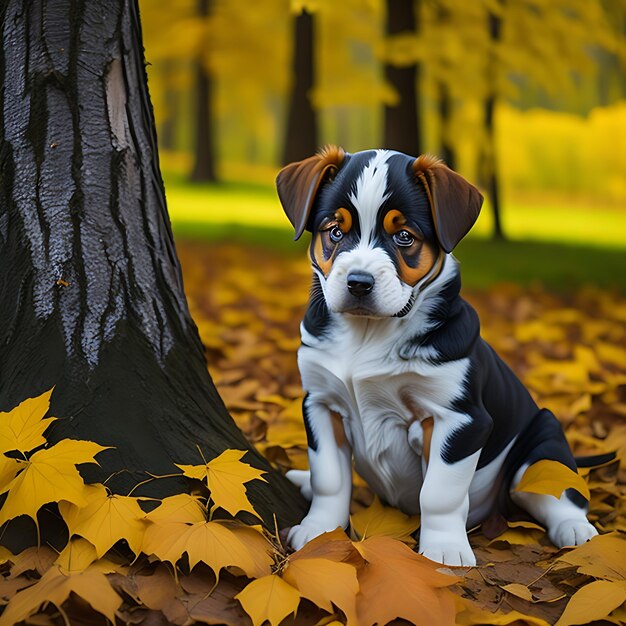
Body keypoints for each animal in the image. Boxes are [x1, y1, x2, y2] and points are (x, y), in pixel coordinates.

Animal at [276, 147, 596, 564]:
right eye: (335, 231)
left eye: (404, 237)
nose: (359, 283)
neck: (368, 334)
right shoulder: (320, 402)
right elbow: (329, 478)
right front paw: (319, 530)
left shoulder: (459, 418)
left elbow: (439, 494)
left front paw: (444, 548)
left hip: (543, 439)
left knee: (554, 488)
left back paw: (575, 529)